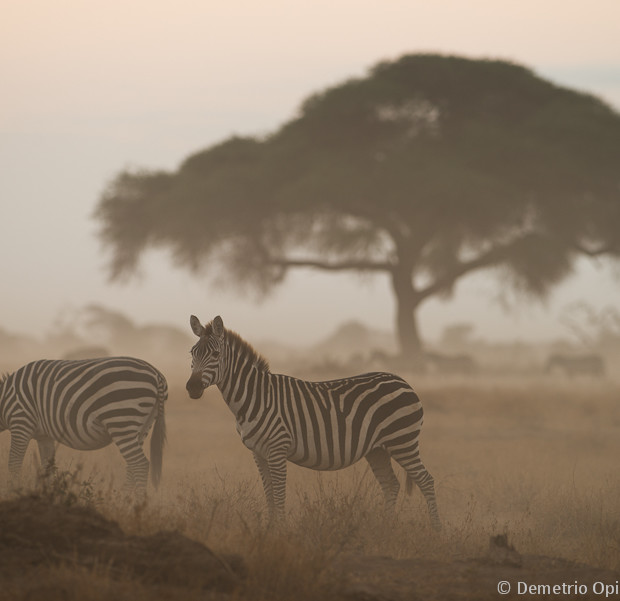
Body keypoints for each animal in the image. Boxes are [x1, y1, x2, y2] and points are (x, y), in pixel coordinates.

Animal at [0, 356, 167, 488]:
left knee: (140, 464)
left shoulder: (21, 422)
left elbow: (14, 465)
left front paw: (14, 491)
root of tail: (156, 373)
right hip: (143, 426)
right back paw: (125, 500)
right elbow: (48, 468)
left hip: (121, 421)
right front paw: (48, 496)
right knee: (132, 466)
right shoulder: (44, 437)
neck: (4, 397)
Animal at [185, 314, 440, 528]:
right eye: (192, 353)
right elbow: (269, 494)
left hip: (402, 441)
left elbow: (279, 494)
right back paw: (386, 528)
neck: (254, 397)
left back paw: (435, 531)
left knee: (426, 481)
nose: (192, 387)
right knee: (391, 485)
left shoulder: (277, 449)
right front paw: (269, 530)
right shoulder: (258, 452)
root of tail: (404, 381)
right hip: (377, 449)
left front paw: (280, 532)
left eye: (215, 355)